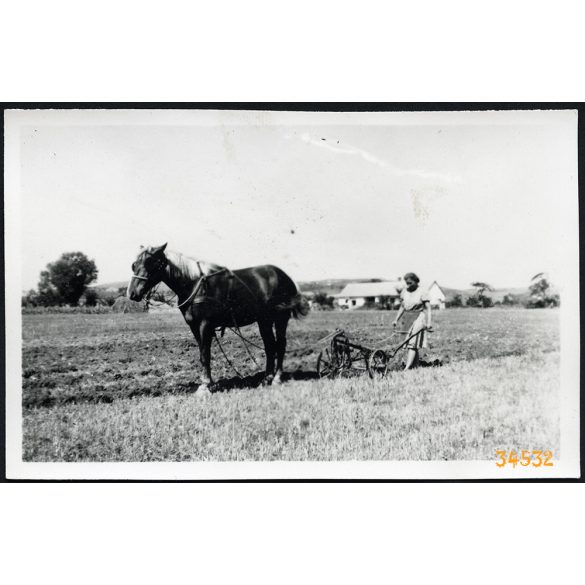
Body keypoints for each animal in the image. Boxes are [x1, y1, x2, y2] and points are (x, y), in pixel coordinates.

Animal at [126, 242, 310, 392]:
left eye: (152, 263)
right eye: (134, 265)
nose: (133, 293)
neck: (194, 284)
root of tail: (283, 276)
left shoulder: (205, 324)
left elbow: (205, 354)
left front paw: (205, 385)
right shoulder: (194, 327)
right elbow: (202, 355)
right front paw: (209, 383)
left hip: (280, 318)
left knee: (280, 345)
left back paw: (277, 378)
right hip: (264, 320)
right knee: (270, 346)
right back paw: (266, 379)